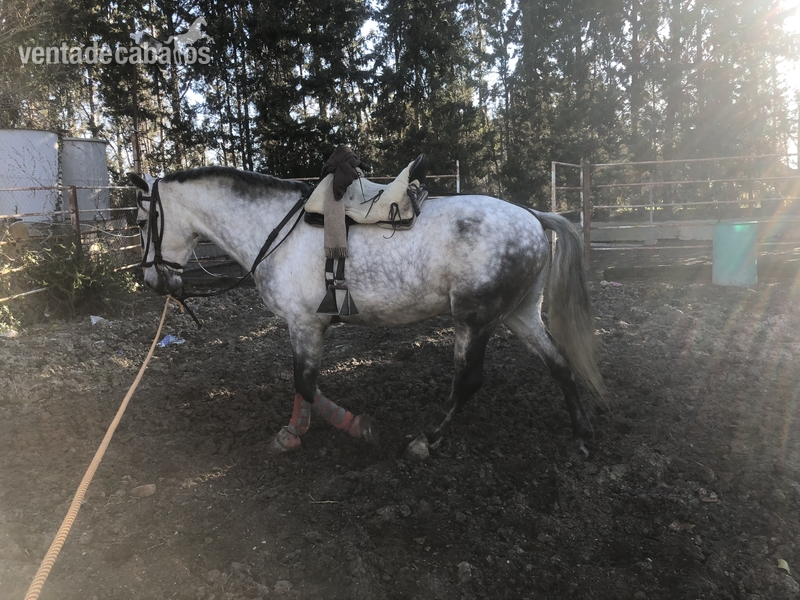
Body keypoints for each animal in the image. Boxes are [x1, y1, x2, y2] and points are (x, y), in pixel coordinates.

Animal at [128, 166, 604, 460]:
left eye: (139, 221)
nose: (151, 280)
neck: (274, 230)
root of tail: (533, 215)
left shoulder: (304, 323)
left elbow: (304, 384)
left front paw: (341, 429)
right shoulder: (305, 326)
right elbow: (304, 386)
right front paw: (299, 430)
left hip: (474, 319)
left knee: (468, 382)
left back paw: (425, 441)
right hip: (519, 314)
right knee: (559, 363)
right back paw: (582, 435)